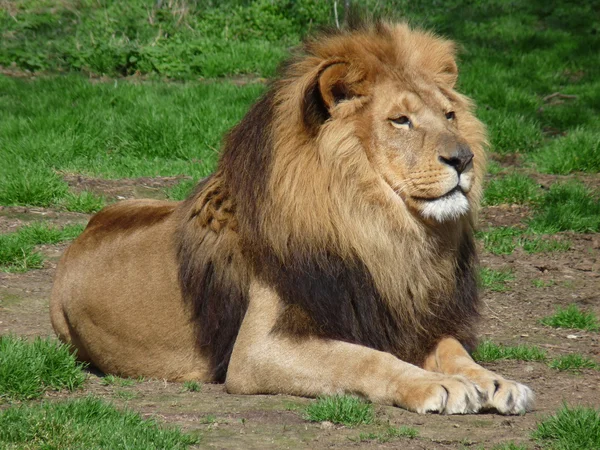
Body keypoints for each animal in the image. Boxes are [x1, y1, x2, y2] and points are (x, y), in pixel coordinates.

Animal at [49, 22, 532, 414]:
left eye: (450, 115)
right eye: (401, 120)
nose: (464, 158)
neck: (381, 232)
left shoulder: (406, 316)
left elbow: (454, 349)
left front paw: (496, 382)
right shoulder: (255, 351)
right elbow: (363, 358)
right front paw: (436, 385)